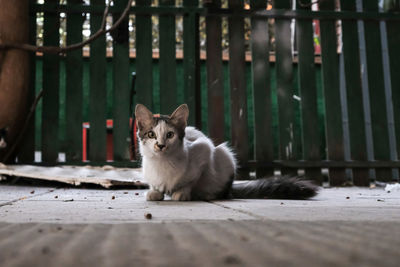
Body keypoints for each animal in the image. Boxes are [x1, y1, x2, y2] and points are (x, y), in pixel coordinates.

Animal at [136, 103, 318, 202]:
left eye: (170, 135)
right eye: (151, 135)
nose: (160, 145)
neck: (161, 164)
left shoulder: (204, 149)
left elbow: (190, 181)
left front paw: (182, 193)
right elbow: (154, 184)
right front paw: (155, 192)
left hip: (225, 154)